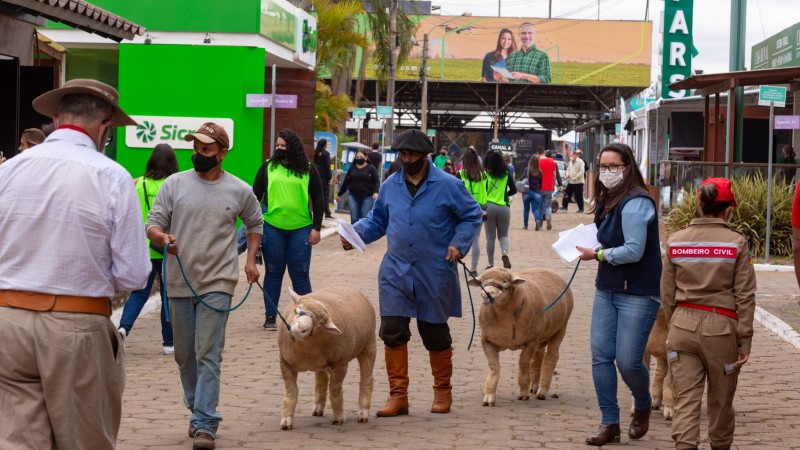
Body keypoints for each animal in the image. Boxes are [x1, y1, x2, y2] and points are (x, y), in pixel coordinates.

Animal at [276, 286, 376, 430]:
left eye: (320, 323)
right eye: (298, 308)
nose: (301, 328)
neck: (305, 351)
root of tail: (345, 287)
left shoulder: (340, 363)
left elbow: (335, 390)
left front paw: (338, 417)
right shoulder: (285, 363)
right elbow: (291, 392)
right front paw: (286, 420)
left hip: (369, 345)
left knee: (367, 379)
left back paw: (363, 413)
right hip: (321, 365)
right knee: (321, 379)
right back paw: (318, 407)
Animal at [468, 266, 576, 406]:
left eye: (505, 281)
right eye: (481, 282)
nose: (486, 295)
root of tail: (546, 269)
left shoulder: (530, 342)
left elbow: (523, 365)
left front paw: (523, 393)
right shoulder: (487, 341)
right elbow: (494, 368)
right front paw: (489, 396)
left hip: (560, 328)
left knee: (551, 357)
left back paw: (542, 390)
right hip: (540, 336)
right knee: (538, 356)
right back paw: (534, 386)